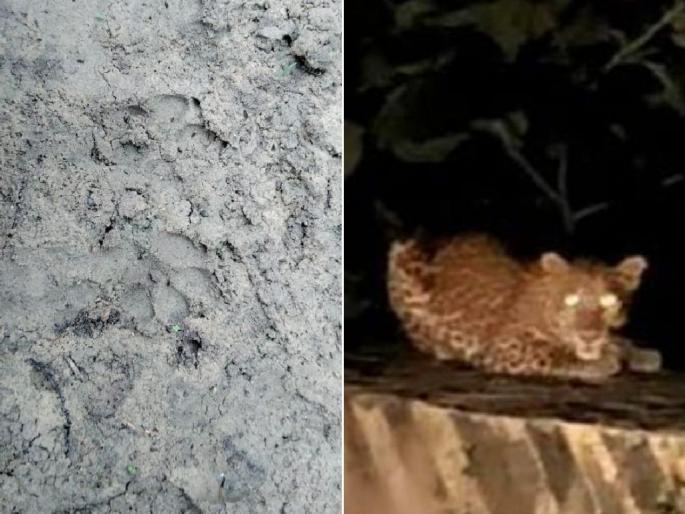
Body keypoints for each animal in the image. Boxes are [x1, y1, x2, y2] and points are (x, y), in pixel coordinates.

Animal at [387, 233, 662, 383]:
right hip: (401, 251)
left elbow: (617, 340)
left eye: (608, 301)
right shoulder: (506, 347)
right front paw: (605, 359)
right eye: (571, 300)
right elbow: (549, 352)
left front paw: (637, 353)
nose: (589, 336)